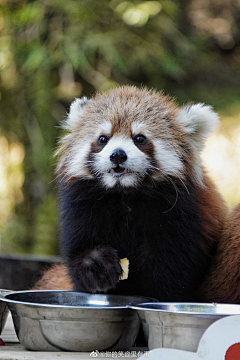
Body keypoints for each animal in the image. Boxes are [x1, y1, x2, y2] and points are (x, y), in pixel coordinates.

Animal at [33, 86, 227, 300]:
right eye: (103, 139)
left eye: (139, 139)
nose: (118, 155)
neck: (125, 195)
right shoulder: (82, 208)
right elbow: (80, 251)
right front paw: (97, 266)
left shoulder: (182, 220)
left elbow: (170, 275)